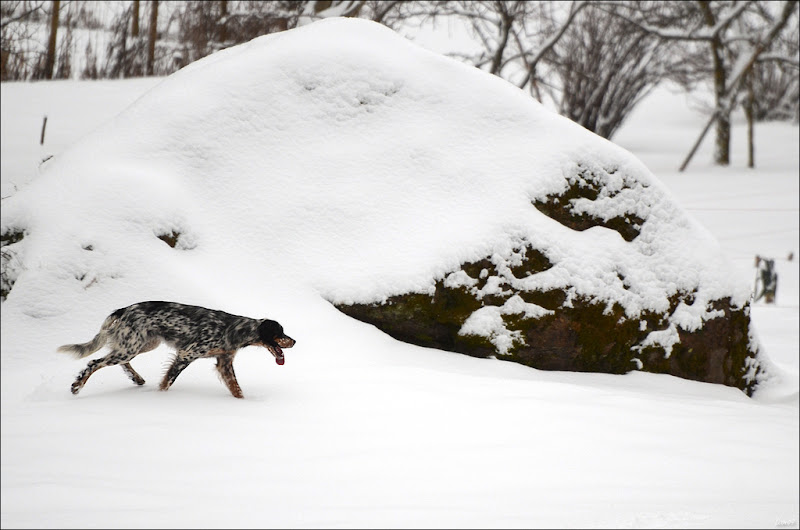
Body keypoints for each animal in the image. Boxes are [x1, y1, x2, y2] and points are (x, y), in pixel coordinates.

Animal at [57, 302, 294, 396]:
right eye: (280, 333)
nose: (294, 341)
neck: (234, 329)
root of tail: (125, 309)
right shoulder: (186, 354)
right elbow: (167, 381)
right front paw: (160, 396)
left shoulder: (224, 363)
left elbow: (237, 390)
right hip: (132, 345)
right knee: (94, 362)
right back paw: (77, 386)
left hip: (141, 344)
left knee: (120, 361)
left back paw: (137, 379)